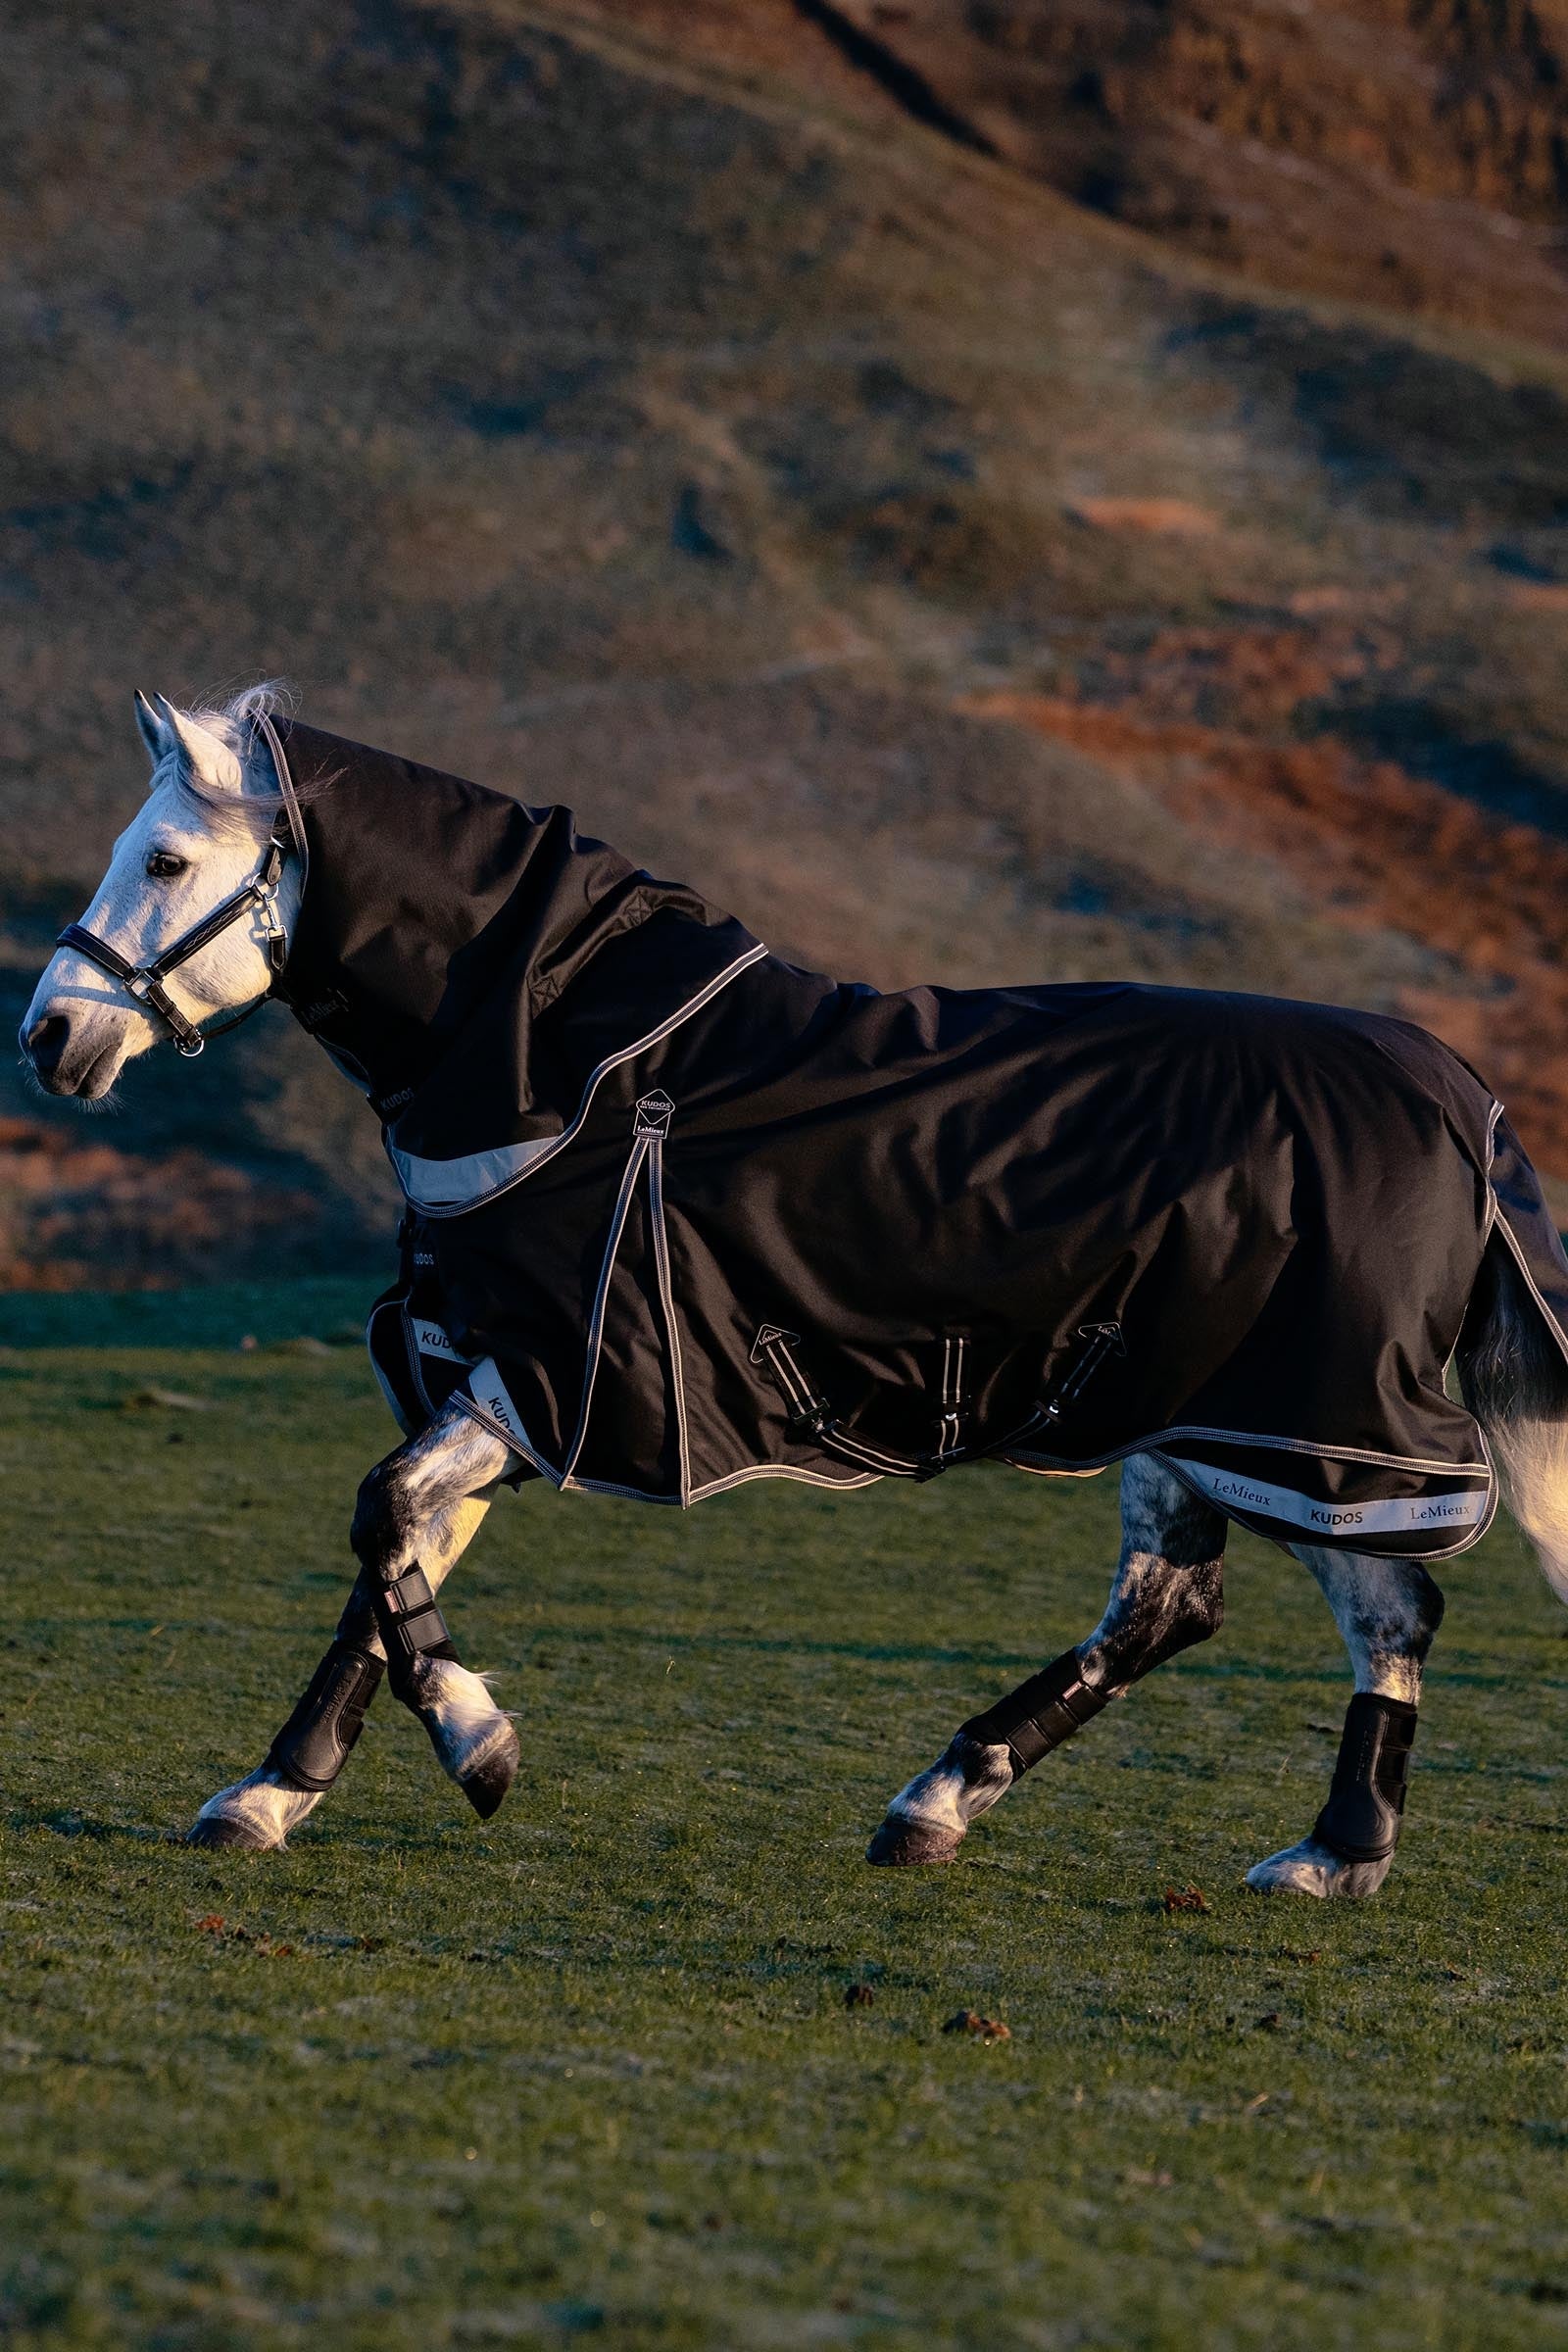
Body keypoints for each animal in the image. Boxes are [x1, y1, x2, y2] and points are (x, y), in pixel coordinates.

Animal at [21, 683, 1568, 1900]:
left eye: (165, 856)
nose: (49, 1038)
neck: (579, 1069)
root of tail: (1462, 1100)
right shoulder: (499, 1375)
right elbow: (391, 1561)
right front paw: (272, 1794)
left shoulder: (559, 1375)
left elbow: (384, 1515)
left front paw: (479, 1747)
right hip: (1182, 1415)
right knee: (1173, 1610)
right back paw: (955, 1805)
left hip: (1312, 1428)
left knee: (1383, 1611)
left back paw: (1330, 1850)